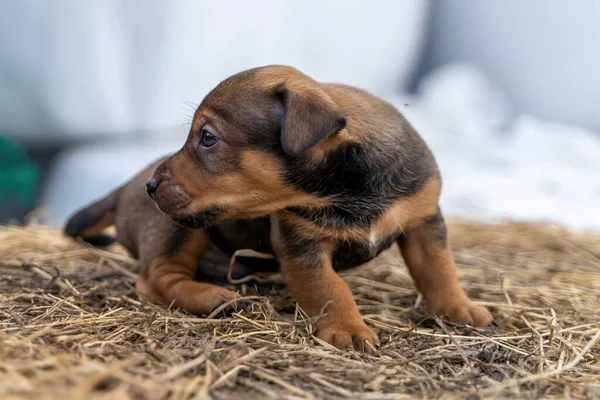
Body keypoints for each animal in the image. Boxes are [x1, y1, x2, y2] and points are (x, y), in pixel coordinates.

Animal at [142, 65, 492, 350]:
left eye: (208, 137)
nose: (151, 185)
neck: (348, 184)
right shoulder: (301, 243)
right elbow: (330, 289)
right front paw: (347, 329)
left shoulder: (424, 221)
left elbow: (439, 269)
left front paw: (458, 308)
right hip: (180, 232)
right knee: (157, 280)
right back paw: (214, 297)